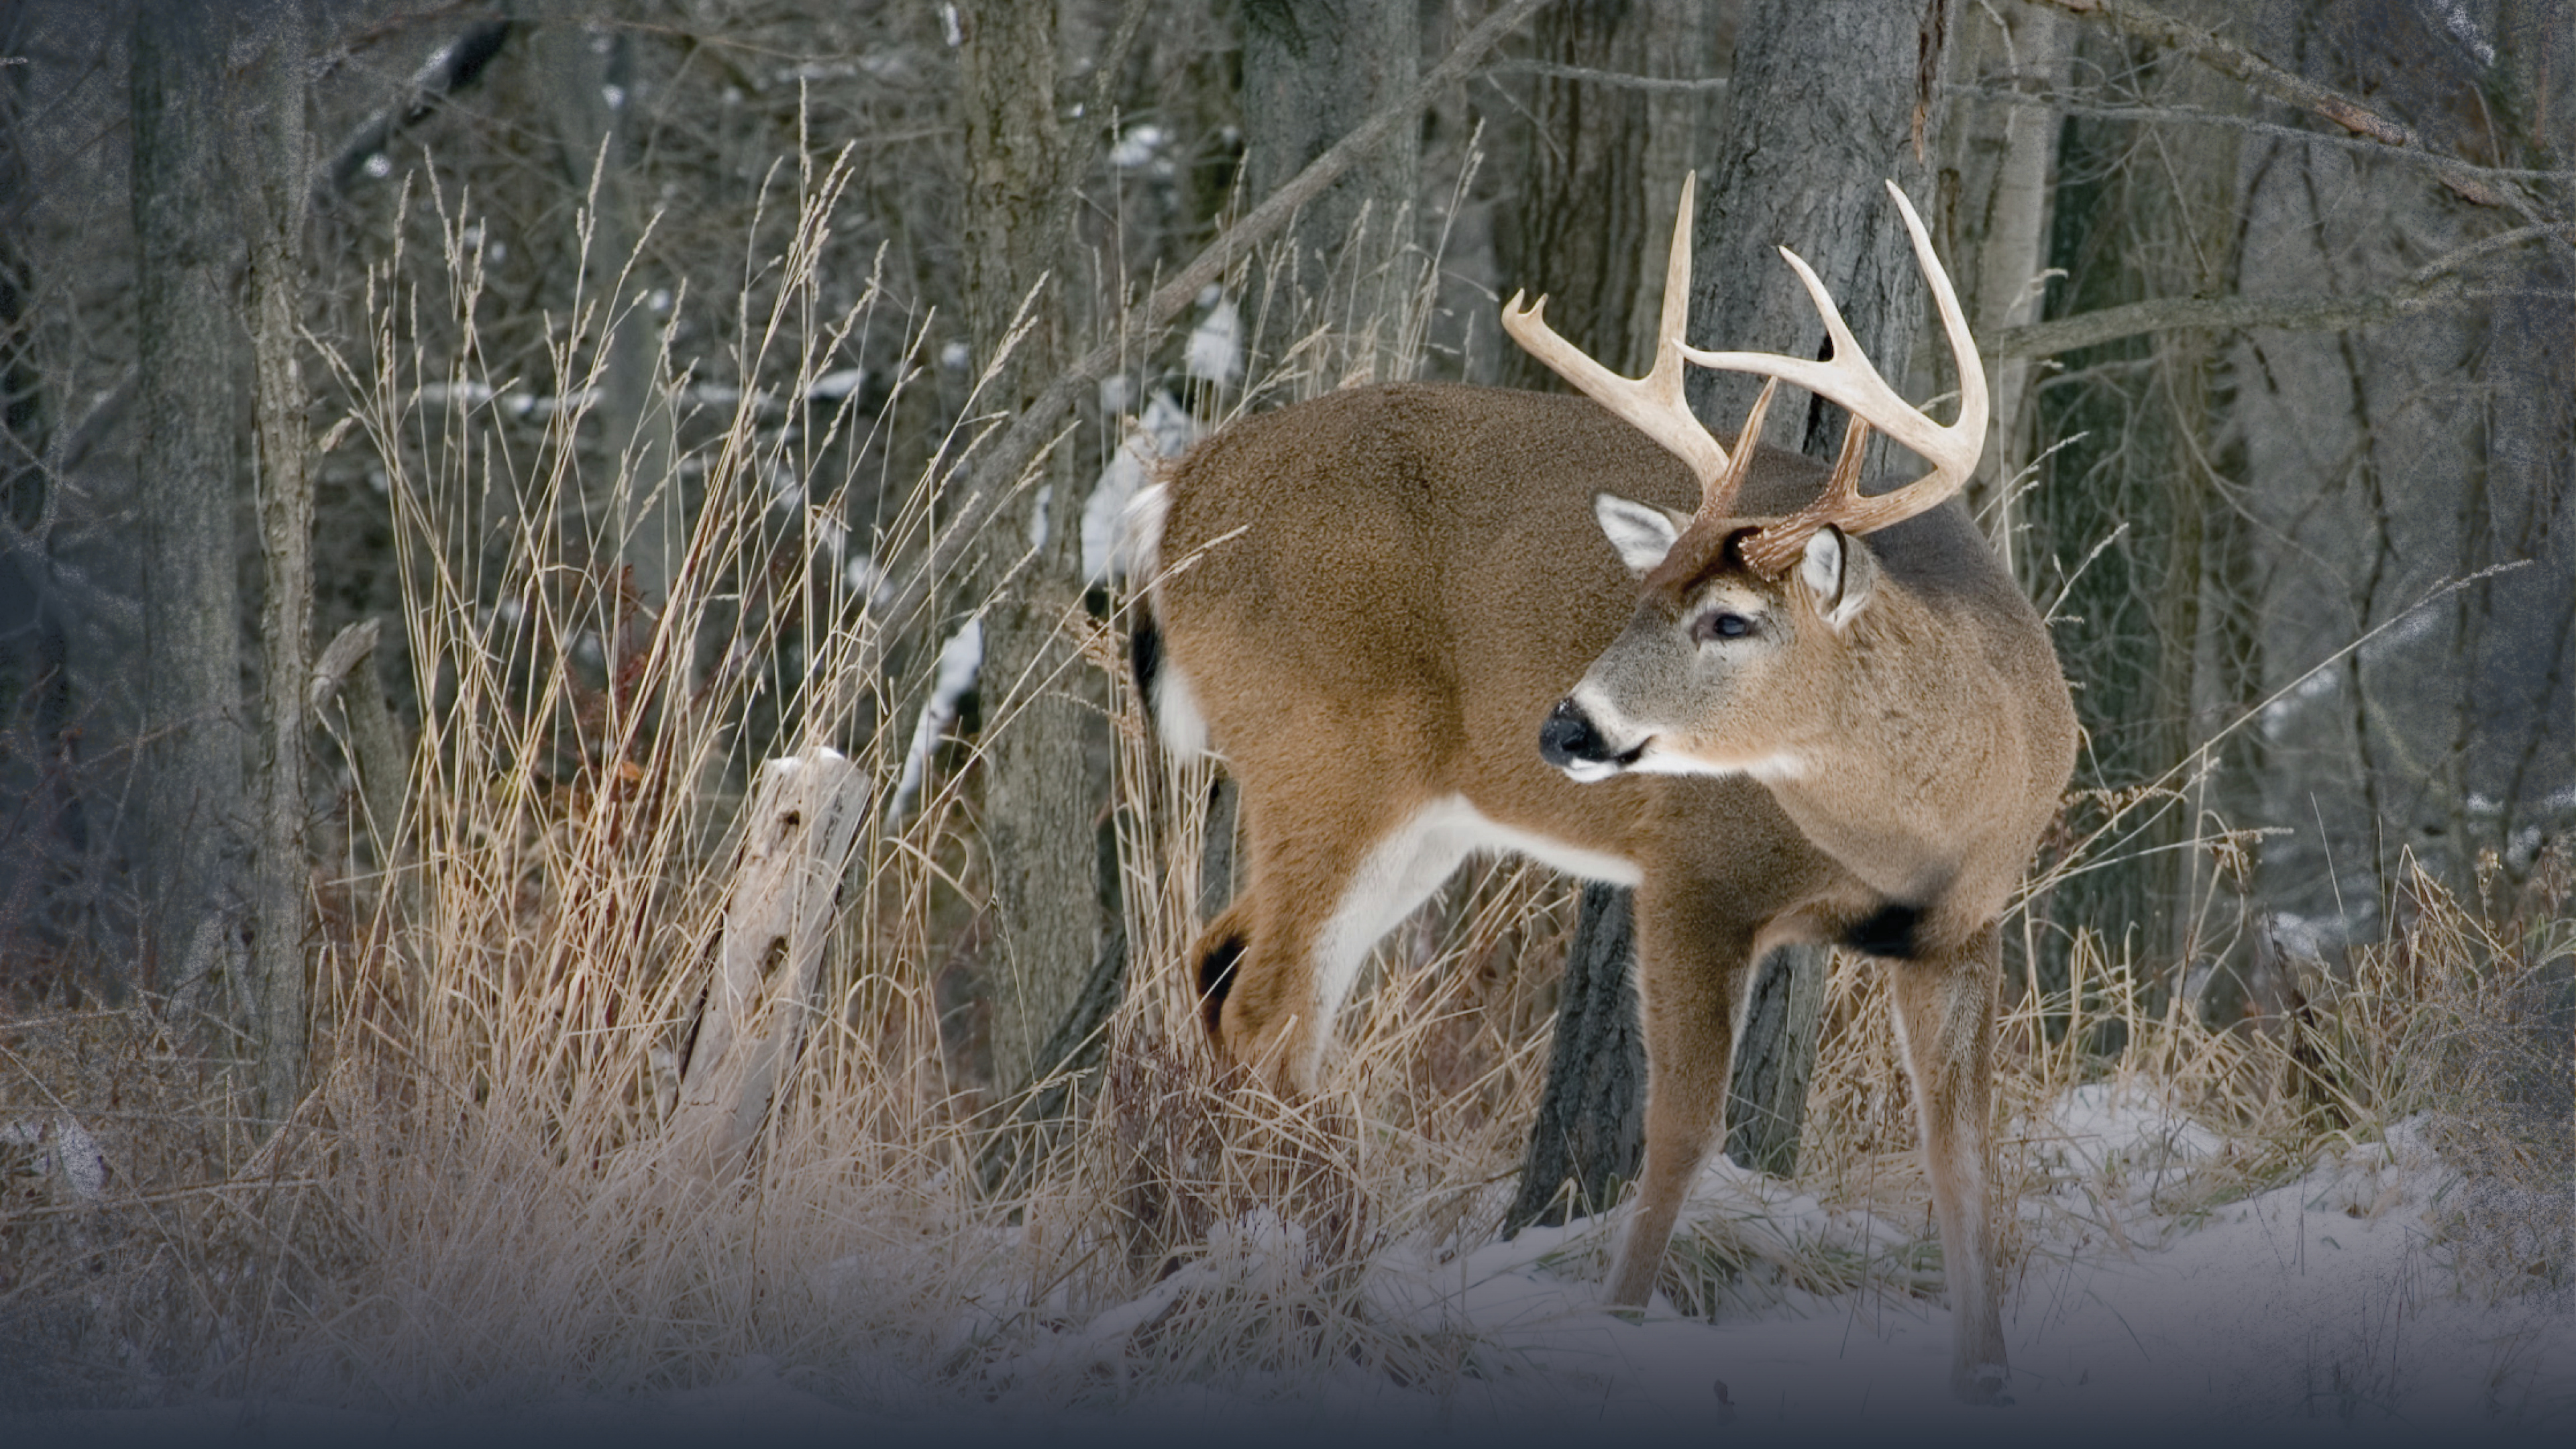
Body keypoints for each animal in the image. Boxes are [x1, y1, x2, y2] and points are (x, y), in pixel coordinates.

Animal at [1125, 173, 2076, 1405]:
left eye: (1731, 620)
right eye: (1641, 595)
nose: (1567, 724)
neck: (1915, 831)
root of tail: (1174, 500)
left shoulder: (1962, 929)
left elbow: (1961, 1154)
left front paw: (1989, 1376)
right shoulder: (1694, 878)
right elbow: (1681, 1130)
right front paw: (1622, 1320)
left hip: (1414, 818)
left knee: (1238, 975)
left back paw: (1249, 1240)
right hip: (1325, 753)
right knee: (1261, 1001)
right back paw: (1312, 1252)